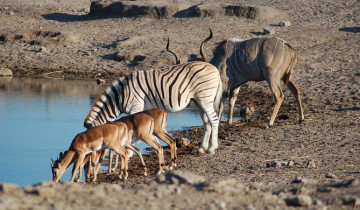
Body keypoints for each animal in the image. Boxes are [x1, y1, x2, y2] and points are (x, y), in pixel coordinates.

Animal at [84, 60, 224, 154]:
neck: (120, 96)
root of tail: (215, 69)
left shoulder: (135, 106)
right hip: (198, 100)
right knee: (206, 122)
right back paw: (202, 148)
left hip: (205, 98)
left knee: (214, 119)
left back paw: (212, 148)